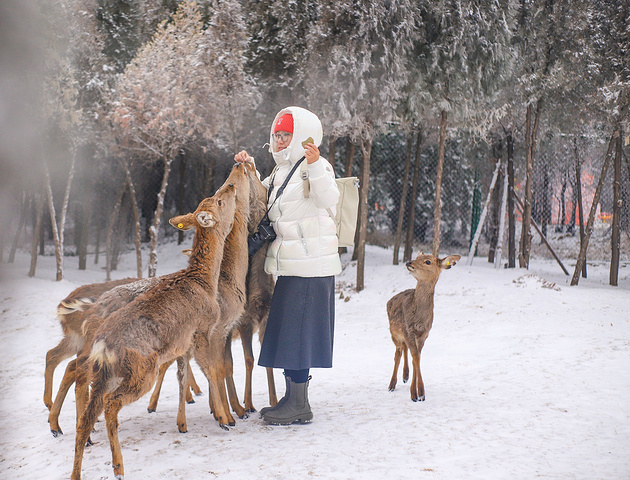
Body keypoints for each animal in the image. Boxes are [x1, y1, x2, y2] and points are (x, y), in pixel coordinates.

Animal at [71, 180, 238, 480]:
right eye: (218, 200)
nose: (230, 185)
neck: (204, 281)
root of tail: (104, 345)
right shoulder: (202, 330)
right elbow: (211, 370)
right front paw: (224, 419)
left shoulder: (183, 345)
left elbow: (184, 376)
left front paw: (187, 422)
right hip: (141, 370)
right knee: (111, 403)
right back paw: (119, 466)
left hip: (105, 374)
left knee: (87, 414)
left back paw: (78, 471)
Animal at [388, 253, 462, 404]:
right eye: (416, 258)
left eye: (428, 261)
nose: (409, 262)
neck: (419, 320)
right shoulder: (408, 330)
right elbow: (415, 356)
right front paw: (418, 394)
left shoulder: (424, 334)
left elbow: (417, 357)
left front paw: (418, 393)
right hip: (394, 333)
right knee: (398, 352)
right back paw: (392, 384)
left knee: (404, 349)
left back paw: (405, 376)